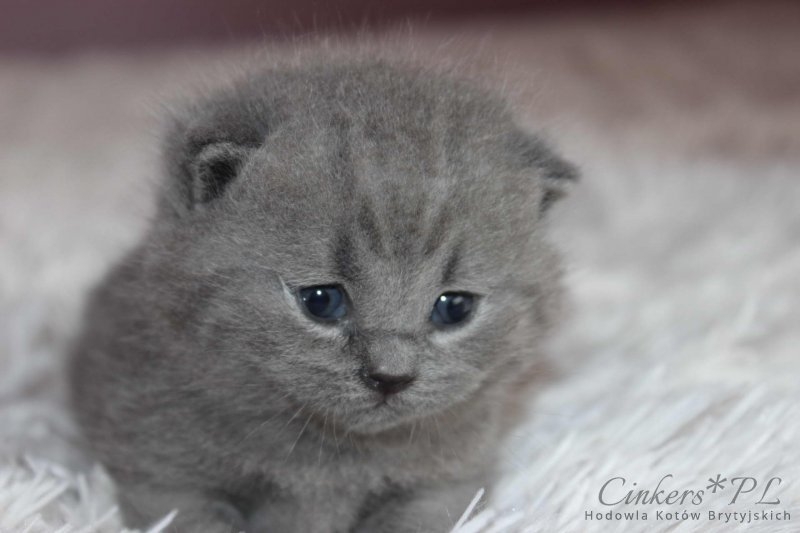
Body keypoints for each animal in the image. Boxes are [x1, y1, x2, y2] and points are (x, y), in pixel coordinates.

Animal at [68, 59, 577, 533]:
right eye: (321, 300)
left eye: (454, 308)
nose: (390, 376)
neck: (334, 458)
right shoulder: (162, 476)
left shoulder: (449, 481)